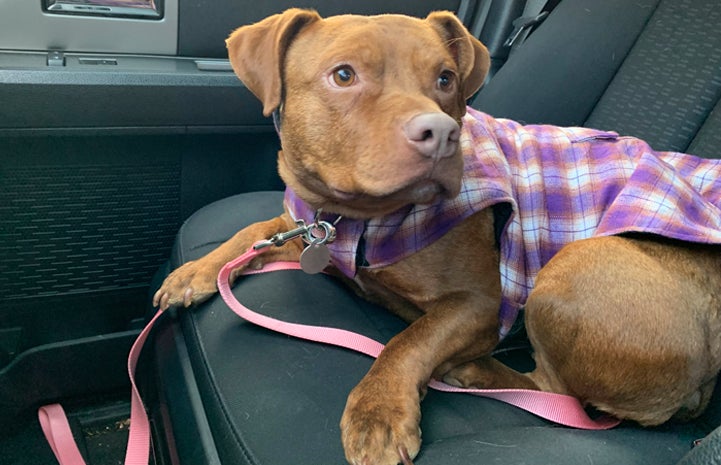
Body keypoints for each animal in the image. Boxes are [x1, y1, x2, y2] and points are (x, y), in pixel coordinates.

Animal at [155, 8, 720, 464]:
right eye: (344, 75)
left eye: (446, 78)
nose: (442, 133)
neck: (358, 219)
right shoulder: (310, 227)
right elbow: (251, 230)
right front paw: (195, 272)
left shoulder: (478, 304)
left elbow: (410, 341)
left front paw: (378, 409)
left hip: (576, 266)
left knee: (554, 389)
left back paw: (477, 373)